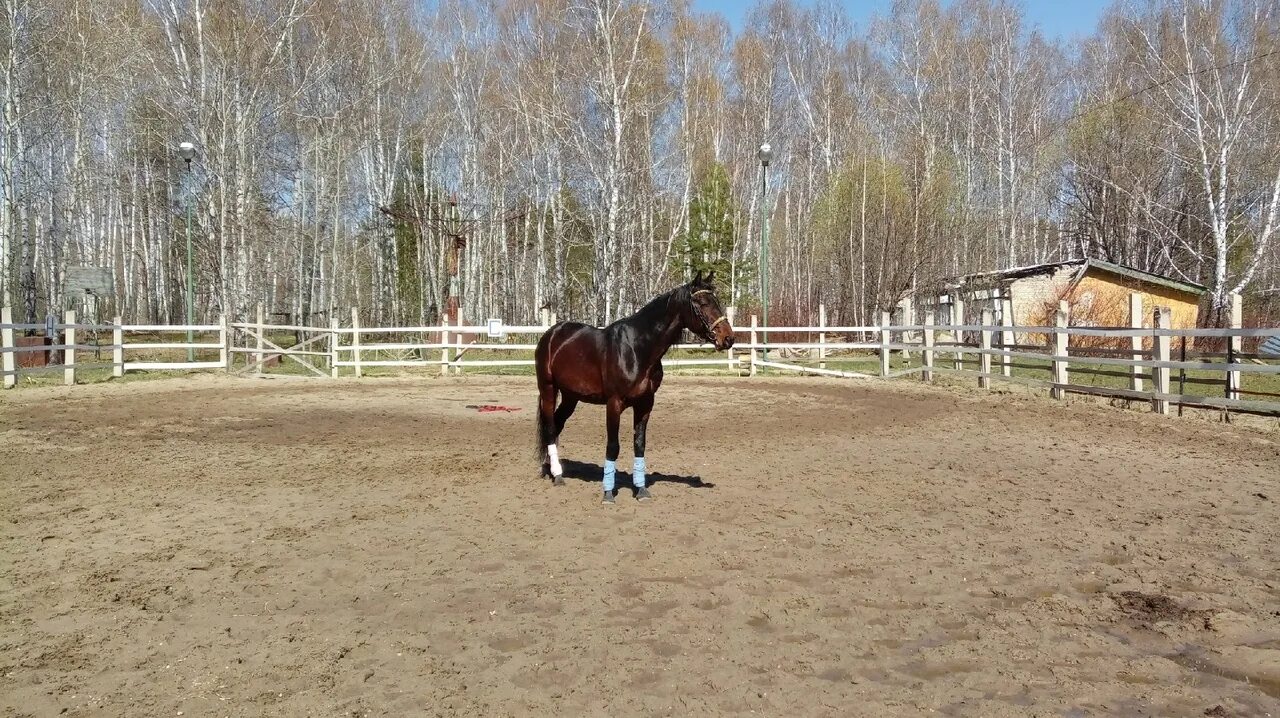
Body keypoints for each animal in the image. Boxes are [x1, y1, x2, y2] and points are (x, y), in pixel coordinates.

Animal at [535, 272, 737, 504]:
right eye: (702, 303)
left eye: (717, 302)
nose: (728, 338)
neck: (637, 349)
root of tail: (551, 333)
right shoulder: (614, 404)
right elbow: (613, 446)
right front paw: (608, 494)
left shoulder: (645, 404)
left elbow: (639, 444)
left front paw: (641, 490)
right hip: (548, 389)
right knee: (550, 427)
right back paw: (557, 475)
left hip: (571, 397)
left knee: (557, 424)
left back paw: (550, 469)